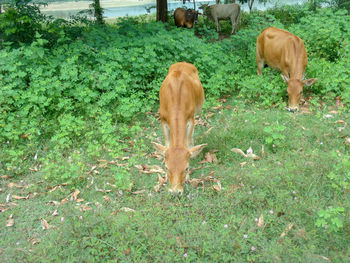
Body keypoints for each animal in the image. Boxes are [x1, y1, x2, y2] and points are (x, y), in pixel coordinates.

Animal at [152, 62, 206, 194]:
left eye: (186, 168)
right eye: (166, 167)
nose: (176, 191)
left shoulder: (190, 118)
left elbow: (188, 141)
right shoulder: (162, 119)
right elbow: (167, 142)